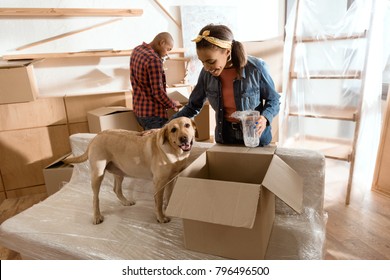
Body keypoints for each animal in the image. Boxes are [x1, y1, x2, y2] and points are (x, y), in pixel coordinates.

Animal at [66, 117, 198, 224]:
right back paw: (97, 216)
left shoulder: (172, 179)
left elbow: (169, 196)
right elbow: (159, 202)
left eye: (187, 125)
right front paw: (161, 217)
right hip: (98, 174)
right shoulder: (159, 182)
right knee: (95, 197)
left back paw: (125, 202)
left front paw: (169, 209)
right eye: (173, 129)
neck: (175, 152)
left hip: (119, 171)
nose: (183, 138)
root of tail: (96, 136)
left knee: (116, 189)